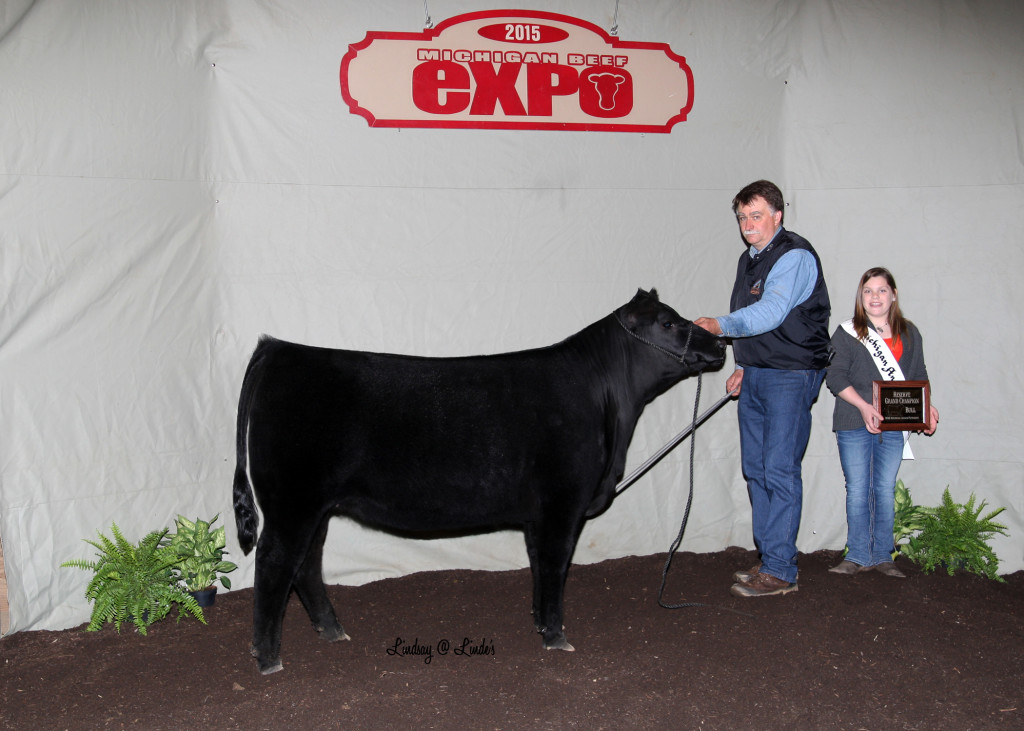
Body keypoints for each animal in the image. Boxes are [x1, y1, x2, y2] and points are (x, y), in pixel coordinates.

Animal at [233, 288, 726, 674]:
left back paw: (333, 631)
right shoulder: (563, 504)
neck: (608, 406)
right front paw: (557, 636)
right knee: (276, 562)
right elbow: (555, 565)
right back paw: (269, 657)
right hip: (292, 500)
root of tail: (280, 349)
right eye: (668, 322)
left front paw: (539, 623)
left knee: (307, 563)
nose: (721, 343)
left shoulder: (538, 514)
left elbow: (538, 565)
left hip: (316, 505)